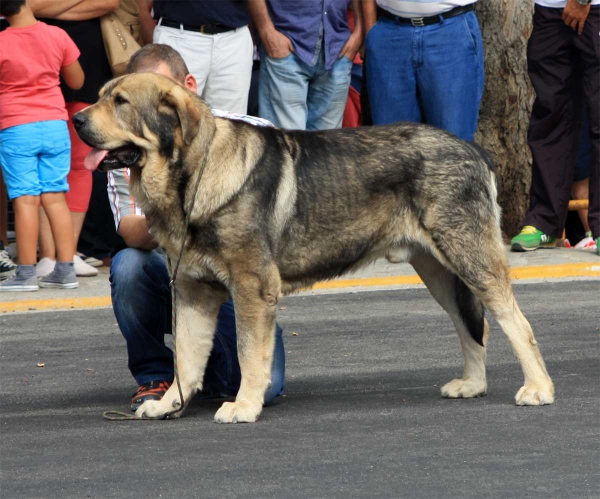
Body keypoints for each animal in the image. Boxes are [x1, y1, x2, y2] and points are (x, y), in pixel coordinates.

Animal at [72, 74, 556, 424]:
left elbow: (249, 352)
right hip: (438, 271)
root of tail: (474, 150)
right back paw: (472, 384)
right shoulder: (192, 291)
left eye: (121, 102)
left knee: (516, 323)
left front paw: (244, 406)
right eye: (102, 97)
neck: (194, 174)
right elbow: (188, 358)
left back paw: (538, 389)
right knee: (471, 326)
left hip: (469, 258)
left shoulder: (252, 288)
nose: (76, 120)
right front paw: (170, 404)